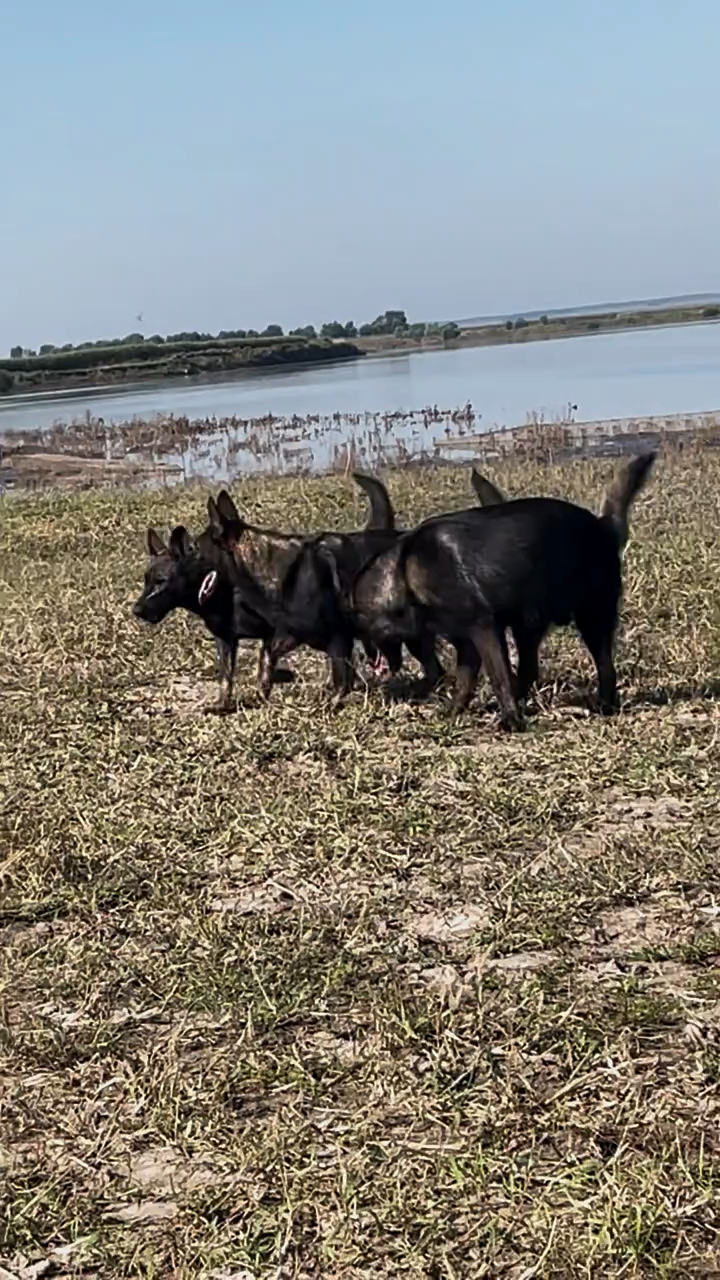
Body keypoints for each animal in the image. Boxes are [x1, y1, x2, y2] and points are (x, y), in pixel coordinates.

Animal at [345, 453, 653, 732]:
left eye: (364, 622)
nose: (366, 653)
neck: (406, 572)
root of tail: (603, 525)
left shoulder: (484, 630)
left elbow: (497, 676)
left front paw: (510, 720)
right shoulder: (466, 641)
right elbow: (466, 680)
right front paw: (455, 711)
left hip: (591, 618)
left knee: (604, 665)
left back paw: (604, 704)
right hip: (528, 626)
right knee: (530, 669)